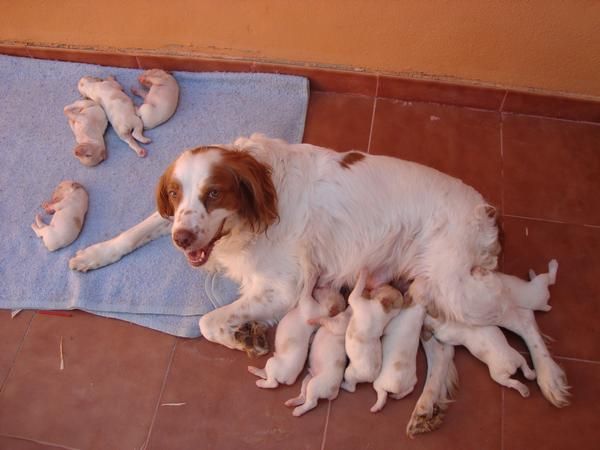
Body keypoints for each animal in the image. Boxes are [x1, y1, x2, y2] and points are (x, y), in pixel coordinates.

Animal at [68, 133, 568, 408]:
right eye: (175, 193)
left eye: (213, 193)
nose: (184, 240)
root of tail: (486, 209)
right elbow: (139, 228)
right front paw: (92, 253)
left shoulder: (285, 287)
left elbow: (208, 322)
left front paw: (245, 337)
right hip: (435, 292)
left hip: (456, 288)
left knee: (521, 314)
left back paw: (549, 378)